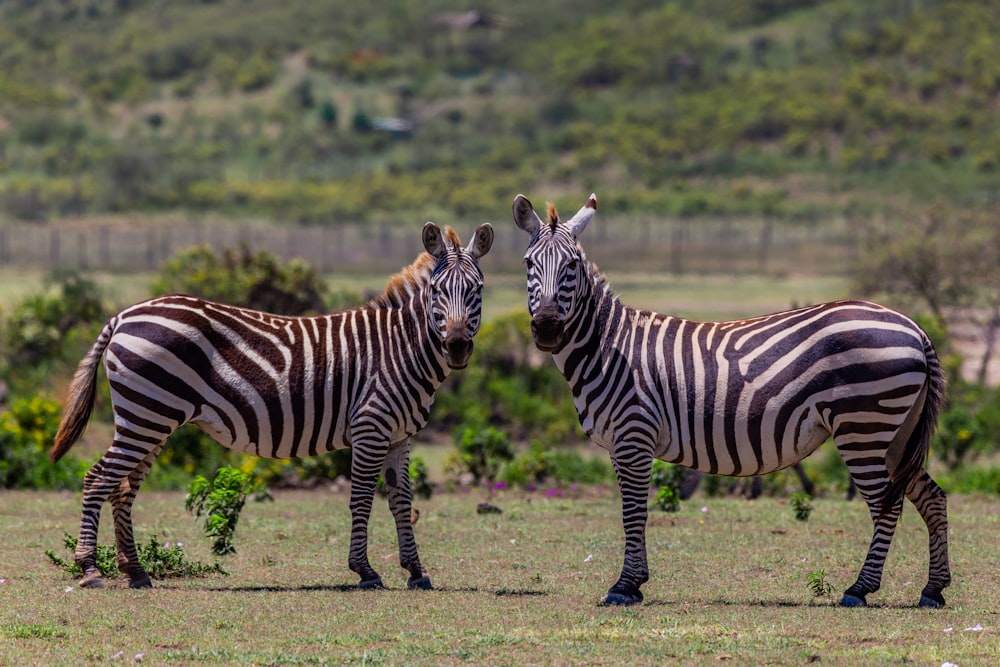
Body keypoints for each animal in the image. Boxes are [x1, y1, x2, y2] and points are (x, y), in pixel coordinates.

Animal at [50, 223, 496, 588]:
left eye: (477, 290)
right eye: (437, 292)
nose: (457, 346)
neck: (402, 348)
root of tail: (124, 314)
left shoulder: (400, 436)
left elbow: (402, 503)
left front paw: (416, 571)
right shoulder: (370, 427)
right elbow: (362, 499)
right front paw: (365, 571)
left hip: (150, 418)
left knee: (122, 489)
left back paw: (136, 572)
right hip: (146, 416)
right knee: (97, 480)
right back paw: (90, 569)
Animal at [512, 194, 948, 612]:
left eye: (571, 265)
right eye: (529, 263)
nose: (547, 327)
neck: (607, 346)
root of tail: (915, 328)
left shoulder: (633, 436)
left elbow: (633, 512)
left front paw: (625, 585)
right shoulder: (622, 444)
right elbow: (633, 511)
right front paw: (635, 582)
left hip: (863, 426)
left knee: (887, 506)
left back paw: (860, 589)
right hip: (895, 434)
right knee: (932, 496)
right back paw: (933, 589)